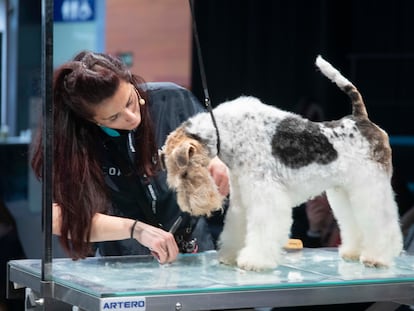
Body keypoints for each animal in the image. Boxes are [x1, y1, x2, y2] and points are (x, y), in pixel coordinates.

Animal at [163, 55, 404, 270]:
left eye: (184, 173)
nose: (190, 207)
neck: (228, 133)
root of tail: (360, 119)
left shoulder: (266, 196)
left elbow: (263, 229)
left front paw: (254, 261)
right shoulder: (242, 198)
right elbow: (237, 227)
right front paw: (230, 255)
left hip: (370, 187)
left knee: (383, 223)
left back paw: (378, 257)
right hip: (345, 191)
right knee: (354, 223)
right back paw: (353, 252)